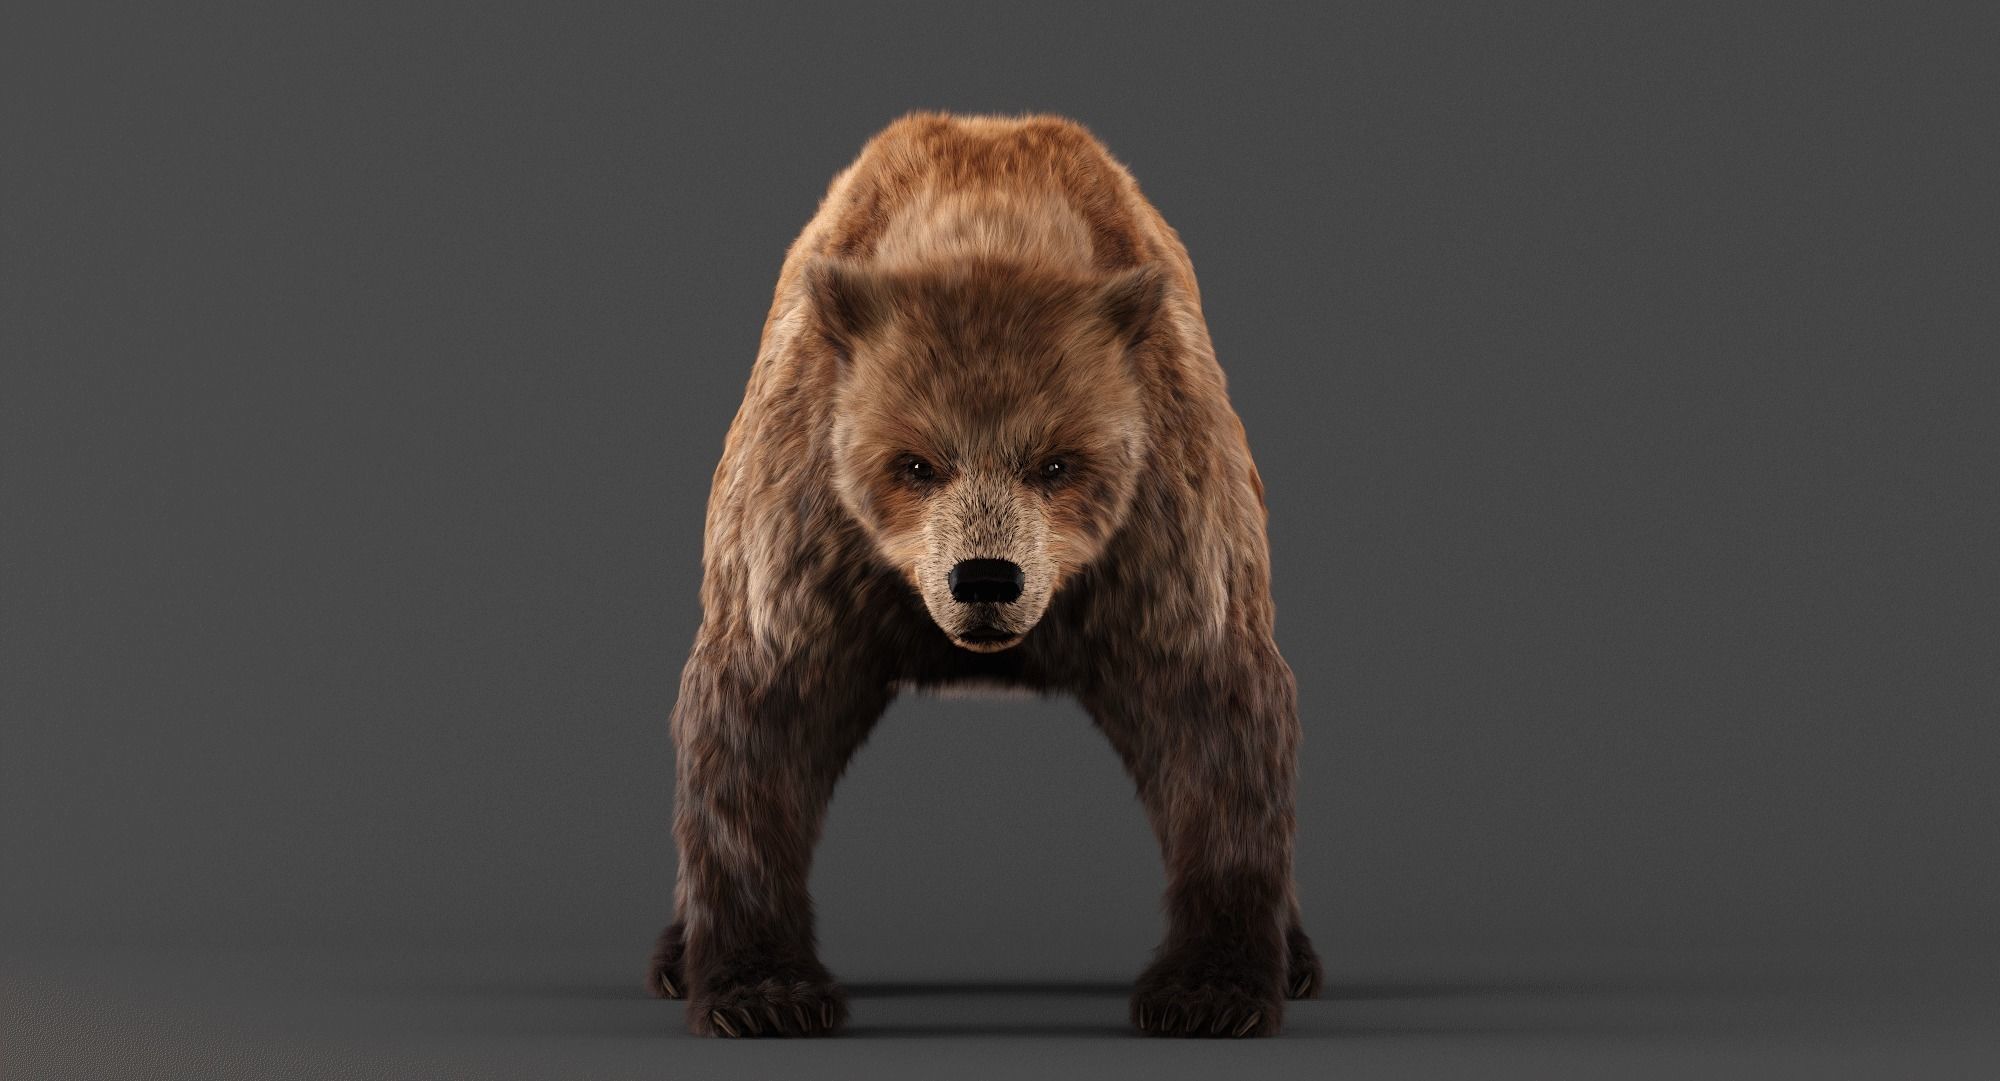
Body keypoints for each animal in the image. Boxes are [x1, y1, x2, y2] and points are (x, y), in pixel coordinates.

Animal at [648, 111, 1319, 1038]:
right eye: (916, 462)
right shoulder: (809, 544)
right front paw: (763, 992)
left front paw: (1211, 990)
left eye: (1057, 462)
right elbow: (756, 731)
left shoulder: (1162, 544)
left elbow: (1216, 727)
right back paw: (676, 955)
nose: (986, 579)